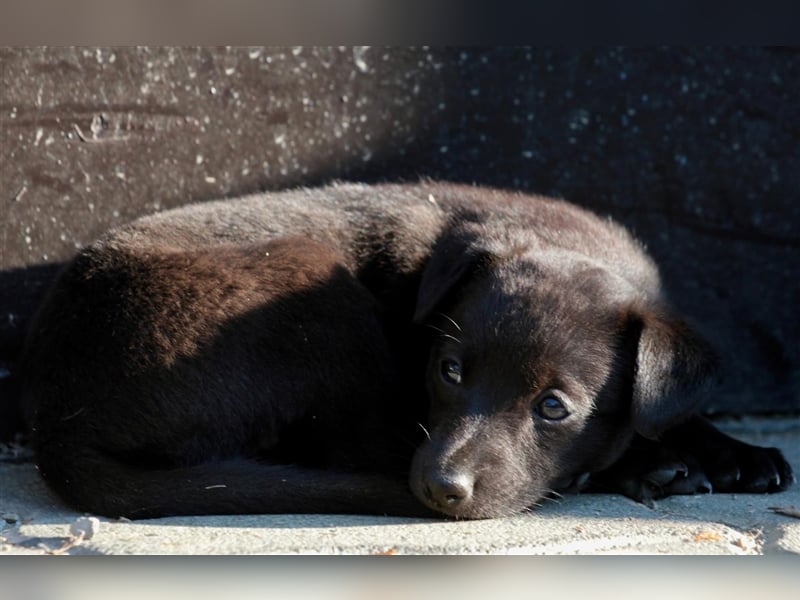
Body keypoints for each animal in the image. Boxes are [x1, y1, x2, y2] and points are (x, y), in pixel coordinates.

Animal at [15, 180, 792, 516]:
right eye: (447, 371)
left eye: (553, 407)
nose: (443, 489)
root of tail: (57, 418)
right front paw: (656, 461)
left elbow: (672, 408)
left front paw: (736, 453)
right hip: (313, 287)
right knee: (357, 447)